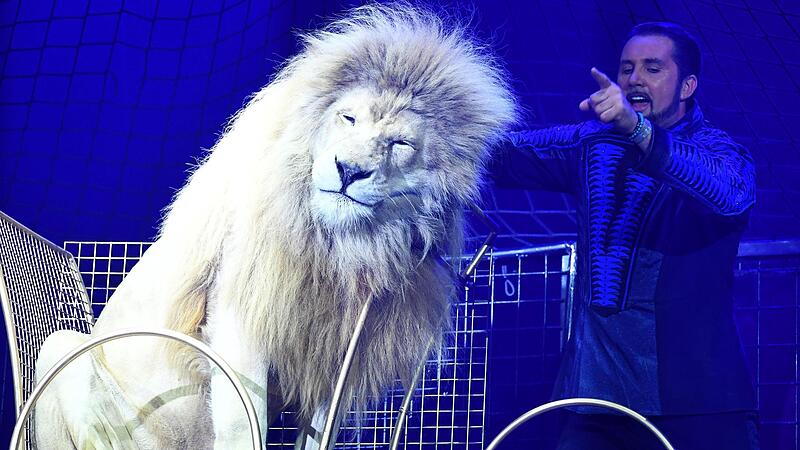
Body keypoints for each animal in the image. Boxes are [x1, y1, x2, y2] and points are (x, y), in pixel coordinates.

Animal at [33, 4, 515, 449]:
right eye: (349, 118)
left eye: (400, 143)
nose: (348, 170)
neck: (342, 247)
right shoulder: (239, 311)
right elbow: (242, 423)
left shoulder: (340, 348)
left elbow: (319, 430)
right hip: (61, 347)